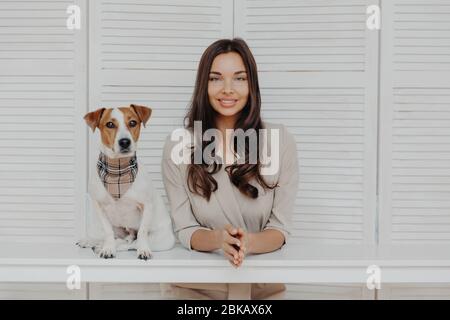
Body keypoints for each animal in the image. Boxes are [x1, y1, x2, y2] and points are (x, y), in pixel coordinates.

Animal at [76, 105, 175, 260]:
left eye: (133, 123)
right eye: (110, 124)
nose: (124, 142)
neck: (117, 170)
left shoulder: (147, 205)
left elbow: (142, 232)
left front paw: (143, 251)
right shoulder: (99, 206)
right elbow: (108, 232)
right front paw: (108, 248)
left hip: (161, 240)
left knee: (131, 243)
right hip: (117, 228)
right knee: (119, 238)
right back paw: (93, 242)